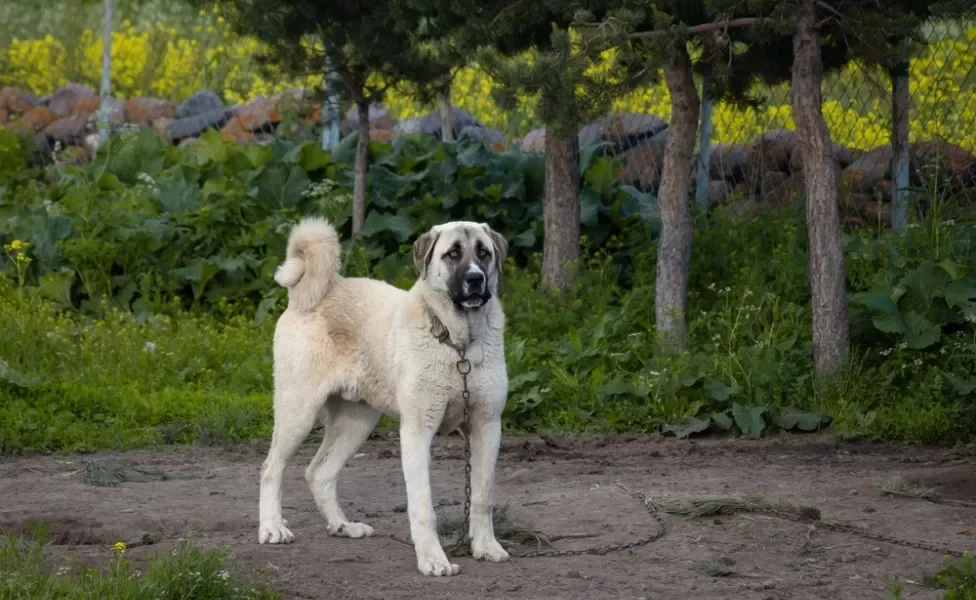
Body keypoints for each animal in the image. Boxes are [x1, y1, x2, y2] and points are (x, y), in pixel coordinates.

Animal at [260, 217, 510, 576]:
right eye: (452, 253)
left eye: (484, 252)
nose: (476, 279)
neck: (457, 343)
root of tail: (312, 293)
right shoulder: (417, 431)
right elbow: (422, 506)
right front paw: (433, 560)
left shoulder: (487, 425)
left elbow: (482, 495)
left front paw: (486, 546)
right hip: (298, 412)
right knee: (271, 469)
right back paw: (271, 528)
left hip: (356, 423)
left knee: (319, 473)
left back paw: (343, 527)